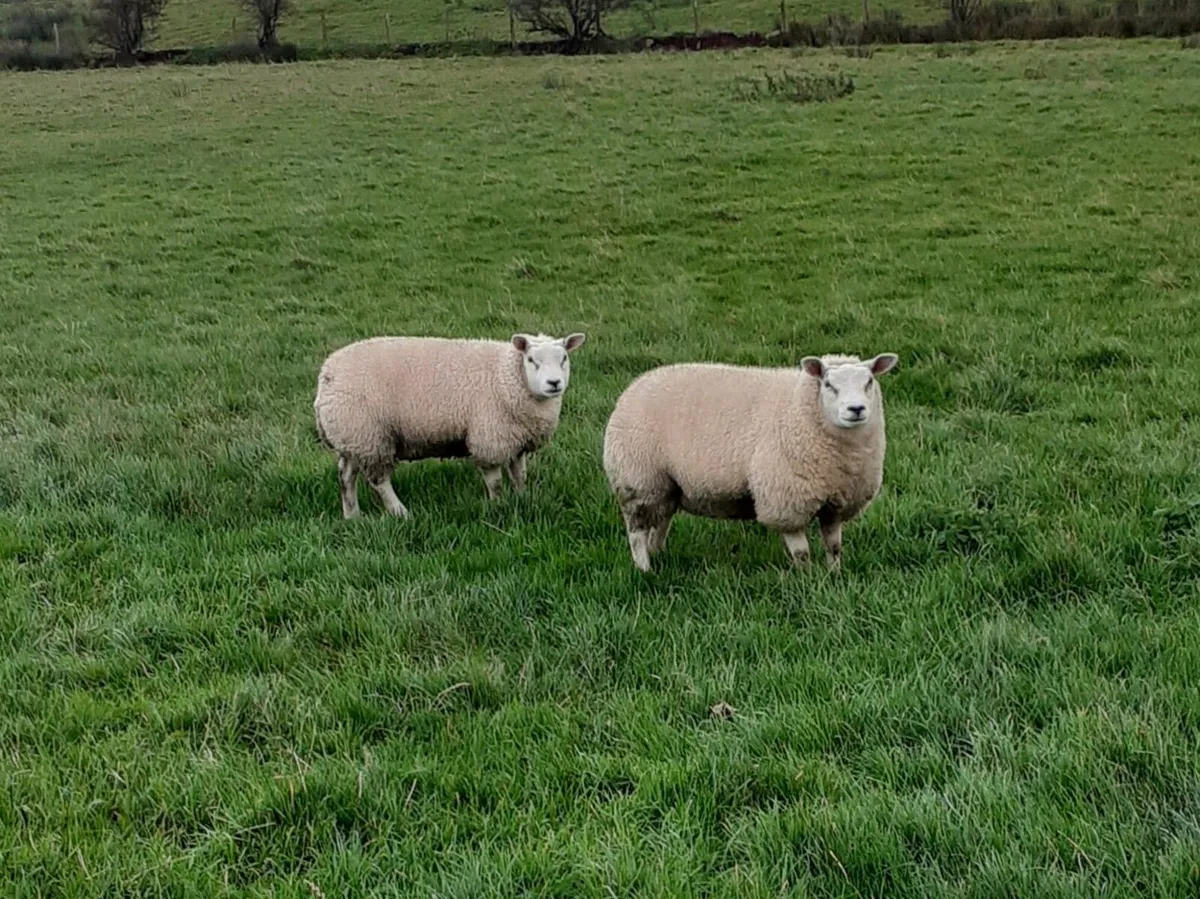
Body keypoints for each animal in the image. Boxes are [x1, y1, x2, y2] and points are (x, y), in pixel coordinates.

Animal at [314, 331, 586, 519]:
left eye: (564, 358)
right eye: (531, 359)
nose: (554, 383)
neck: (508, 375)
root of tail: (326, 377)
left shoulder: (516, 440)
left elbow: (519, 475)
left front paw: (523, 499)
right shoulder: (490, 437)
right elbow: (495, 481)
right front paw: (497, 506)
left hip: (352, 438)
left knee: (346, 476)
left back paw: (352, 516)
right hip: (368, 435)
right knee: (379, 481)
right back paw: (401, 513)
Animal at [602, 352, 899, 572]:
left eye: (869, 381)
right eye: (829, 385)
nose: (856, 409)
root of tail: (635, 386)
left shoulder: (837, 502)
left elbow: (834, 547)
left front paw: (834, 576)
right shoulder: (784, 500)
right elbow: (801, 553)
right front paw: (808, 581)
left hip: (666, 485)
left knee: (661, 521)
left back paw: (658, 554)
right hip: (638, 480)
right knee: (637, 532)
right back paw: (645, 570)